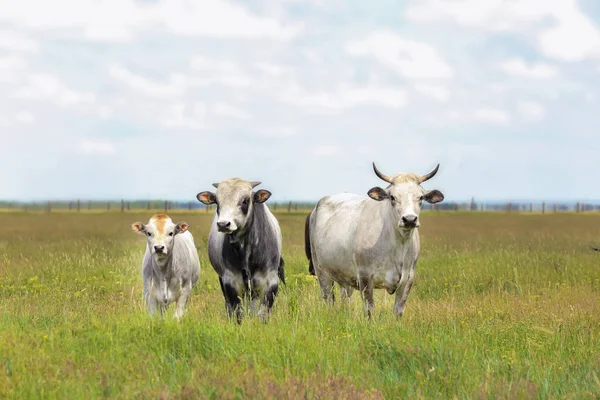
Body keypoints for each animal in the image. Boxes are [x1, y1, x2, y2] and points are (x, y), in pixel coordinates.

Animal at [195, 180, 284, 324]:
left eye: (245, 201)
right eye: (217, 202)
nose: (223, 224)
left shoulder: (271, 280)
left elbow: (263, 313)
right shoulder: (230, 281)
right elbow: (237, 312)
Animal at [308, 162, 442, 318]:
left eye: (420, 197)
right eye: (392, 197)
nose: (409, 219)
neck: (398, 245)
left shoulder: (408, 278)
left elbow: (398, 311)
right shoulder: (365, 277)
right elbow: (369, 310)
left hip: (343, 275)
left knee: (344, 295)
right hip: (321, 271)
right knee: (328, 298)